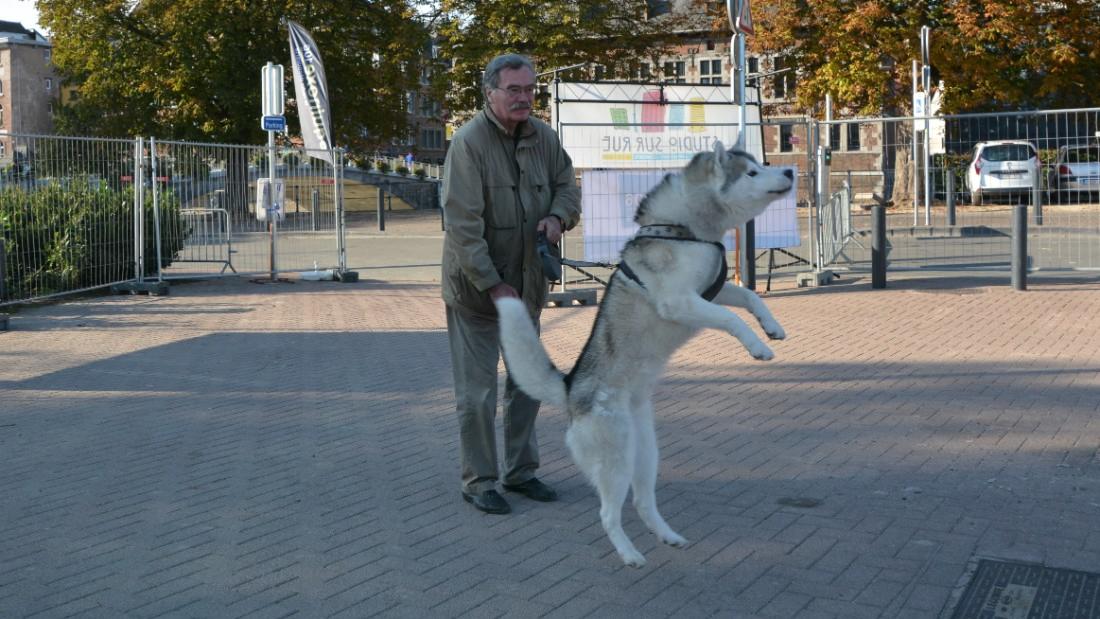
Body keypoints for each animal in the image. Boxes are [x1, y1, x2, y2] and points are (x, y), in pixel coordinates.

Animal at [495, 142, 796, 567]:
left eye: (761, 165)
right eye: (751, 173)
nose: (789, 172)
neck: (686, 229)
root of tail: (570, 390)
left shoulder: (711, 290)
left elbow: (751, 298)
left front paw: (772, 327)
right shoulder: (681, 301)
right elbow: (731, 318)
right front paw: (757, 346)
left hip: (646, 454)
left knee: (642, 501)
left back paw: (668, 535)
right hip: (616, 460)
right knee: (608, 513)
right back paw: (630, 554)